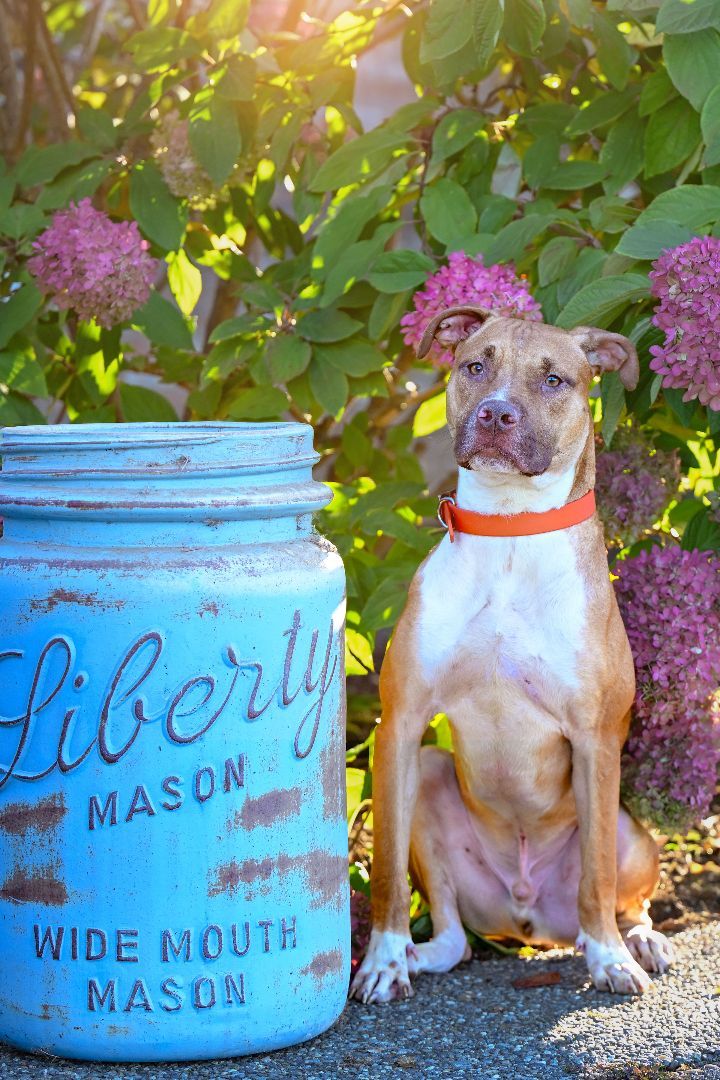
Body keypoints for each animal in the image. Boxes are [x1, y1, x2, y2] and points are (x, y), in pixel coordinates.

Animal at [349, 304, 677, 1002]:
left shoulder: (596, 740)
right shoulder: (400, 727)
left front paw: (611, 962)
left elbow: (597, 878)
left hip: (632, 832)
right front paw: (383, 960)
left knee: (622, 901)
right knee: (453, 936)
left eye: (554, 380)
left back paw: (638, 942)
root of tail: (528, 920)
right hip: (433, 776)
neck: (508, 531)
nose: (497, 414)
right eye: (476, 366)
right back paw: (419, 955)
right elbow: (386, 872)